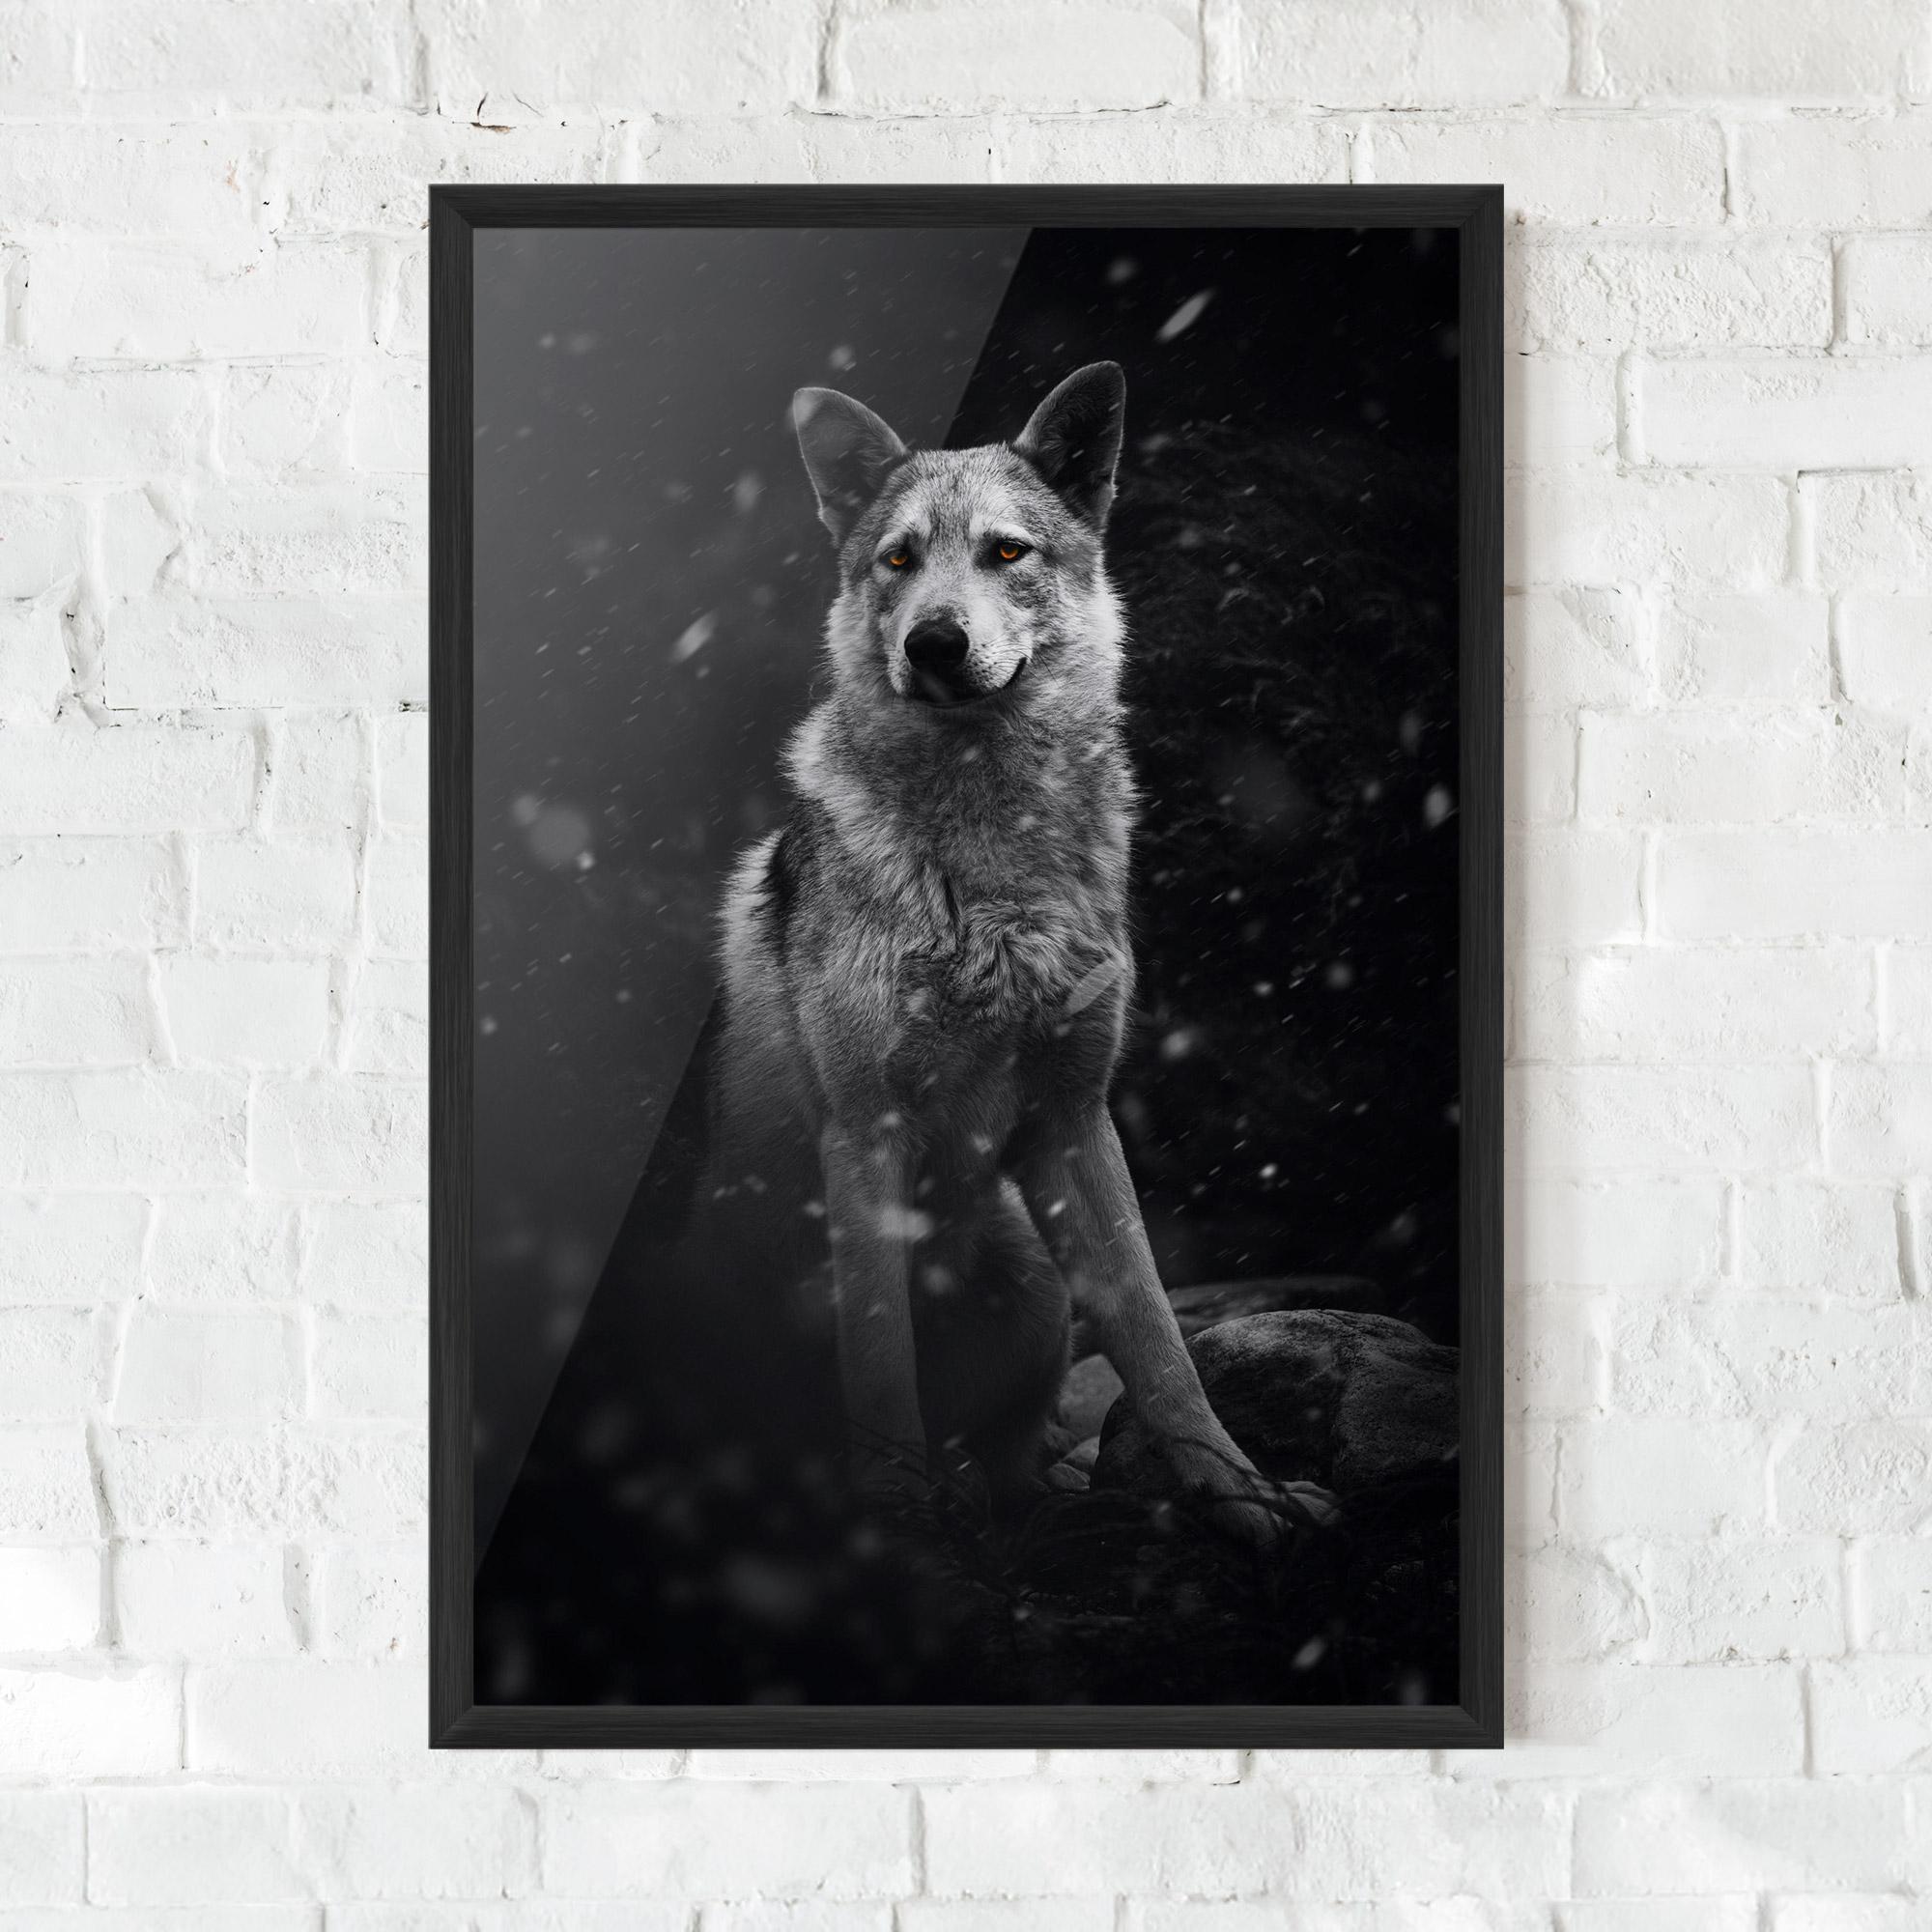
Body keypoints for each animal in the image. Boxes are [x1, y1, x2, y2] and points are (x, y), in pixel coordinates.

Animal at [706, 362, 1309, 1547]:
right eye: (898, 559)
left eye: (1006, 552)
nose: (934, 642)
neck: (990, 876)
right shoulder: (864, 1137)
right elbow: (878, 1359)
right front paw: (893, 1520)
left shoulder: (1074, 1121)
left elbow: (1159, 1341)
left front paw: (1240, 1490)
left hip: (1033, 1282)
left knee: (1016, 1460)